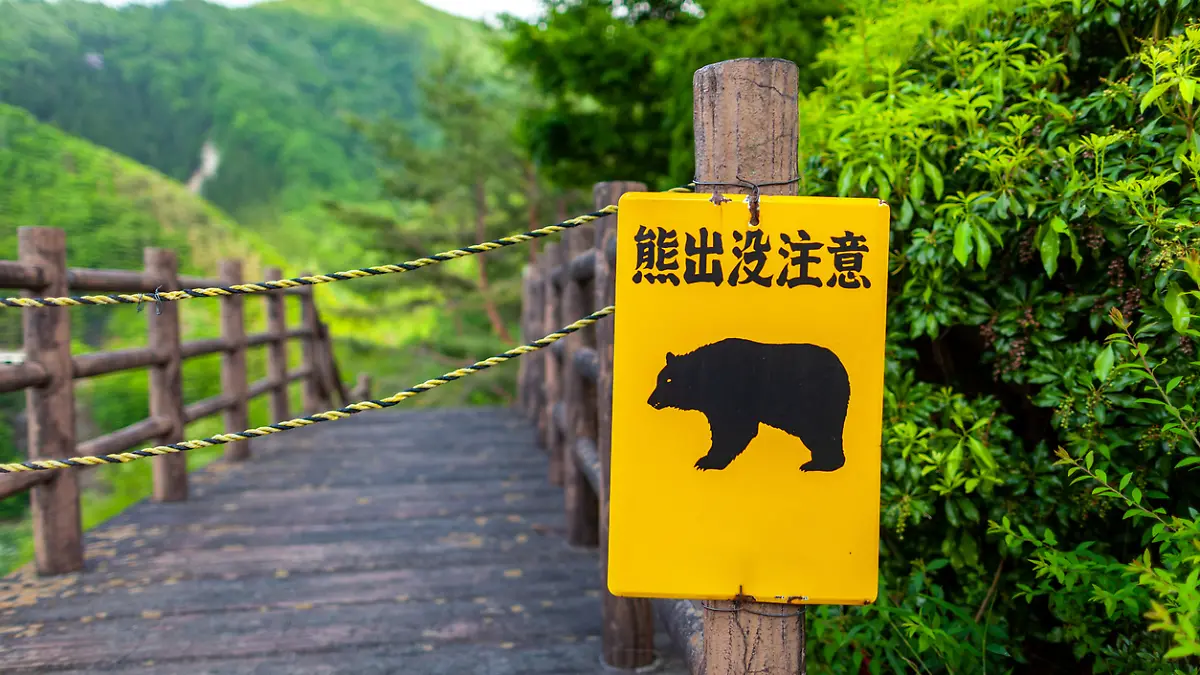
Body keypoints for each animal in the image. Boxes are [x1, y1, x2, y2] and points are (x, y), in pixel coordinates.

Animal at [646, 338, 850, 472]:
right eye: (658, 379)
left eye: (668, 380)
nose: (650, 400)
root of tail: (842, 369)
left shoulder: (732, 395)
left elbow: (735, 429)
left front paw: (707, 461)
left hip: (815, 403)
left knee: (823, 433)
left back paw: (819, 465)